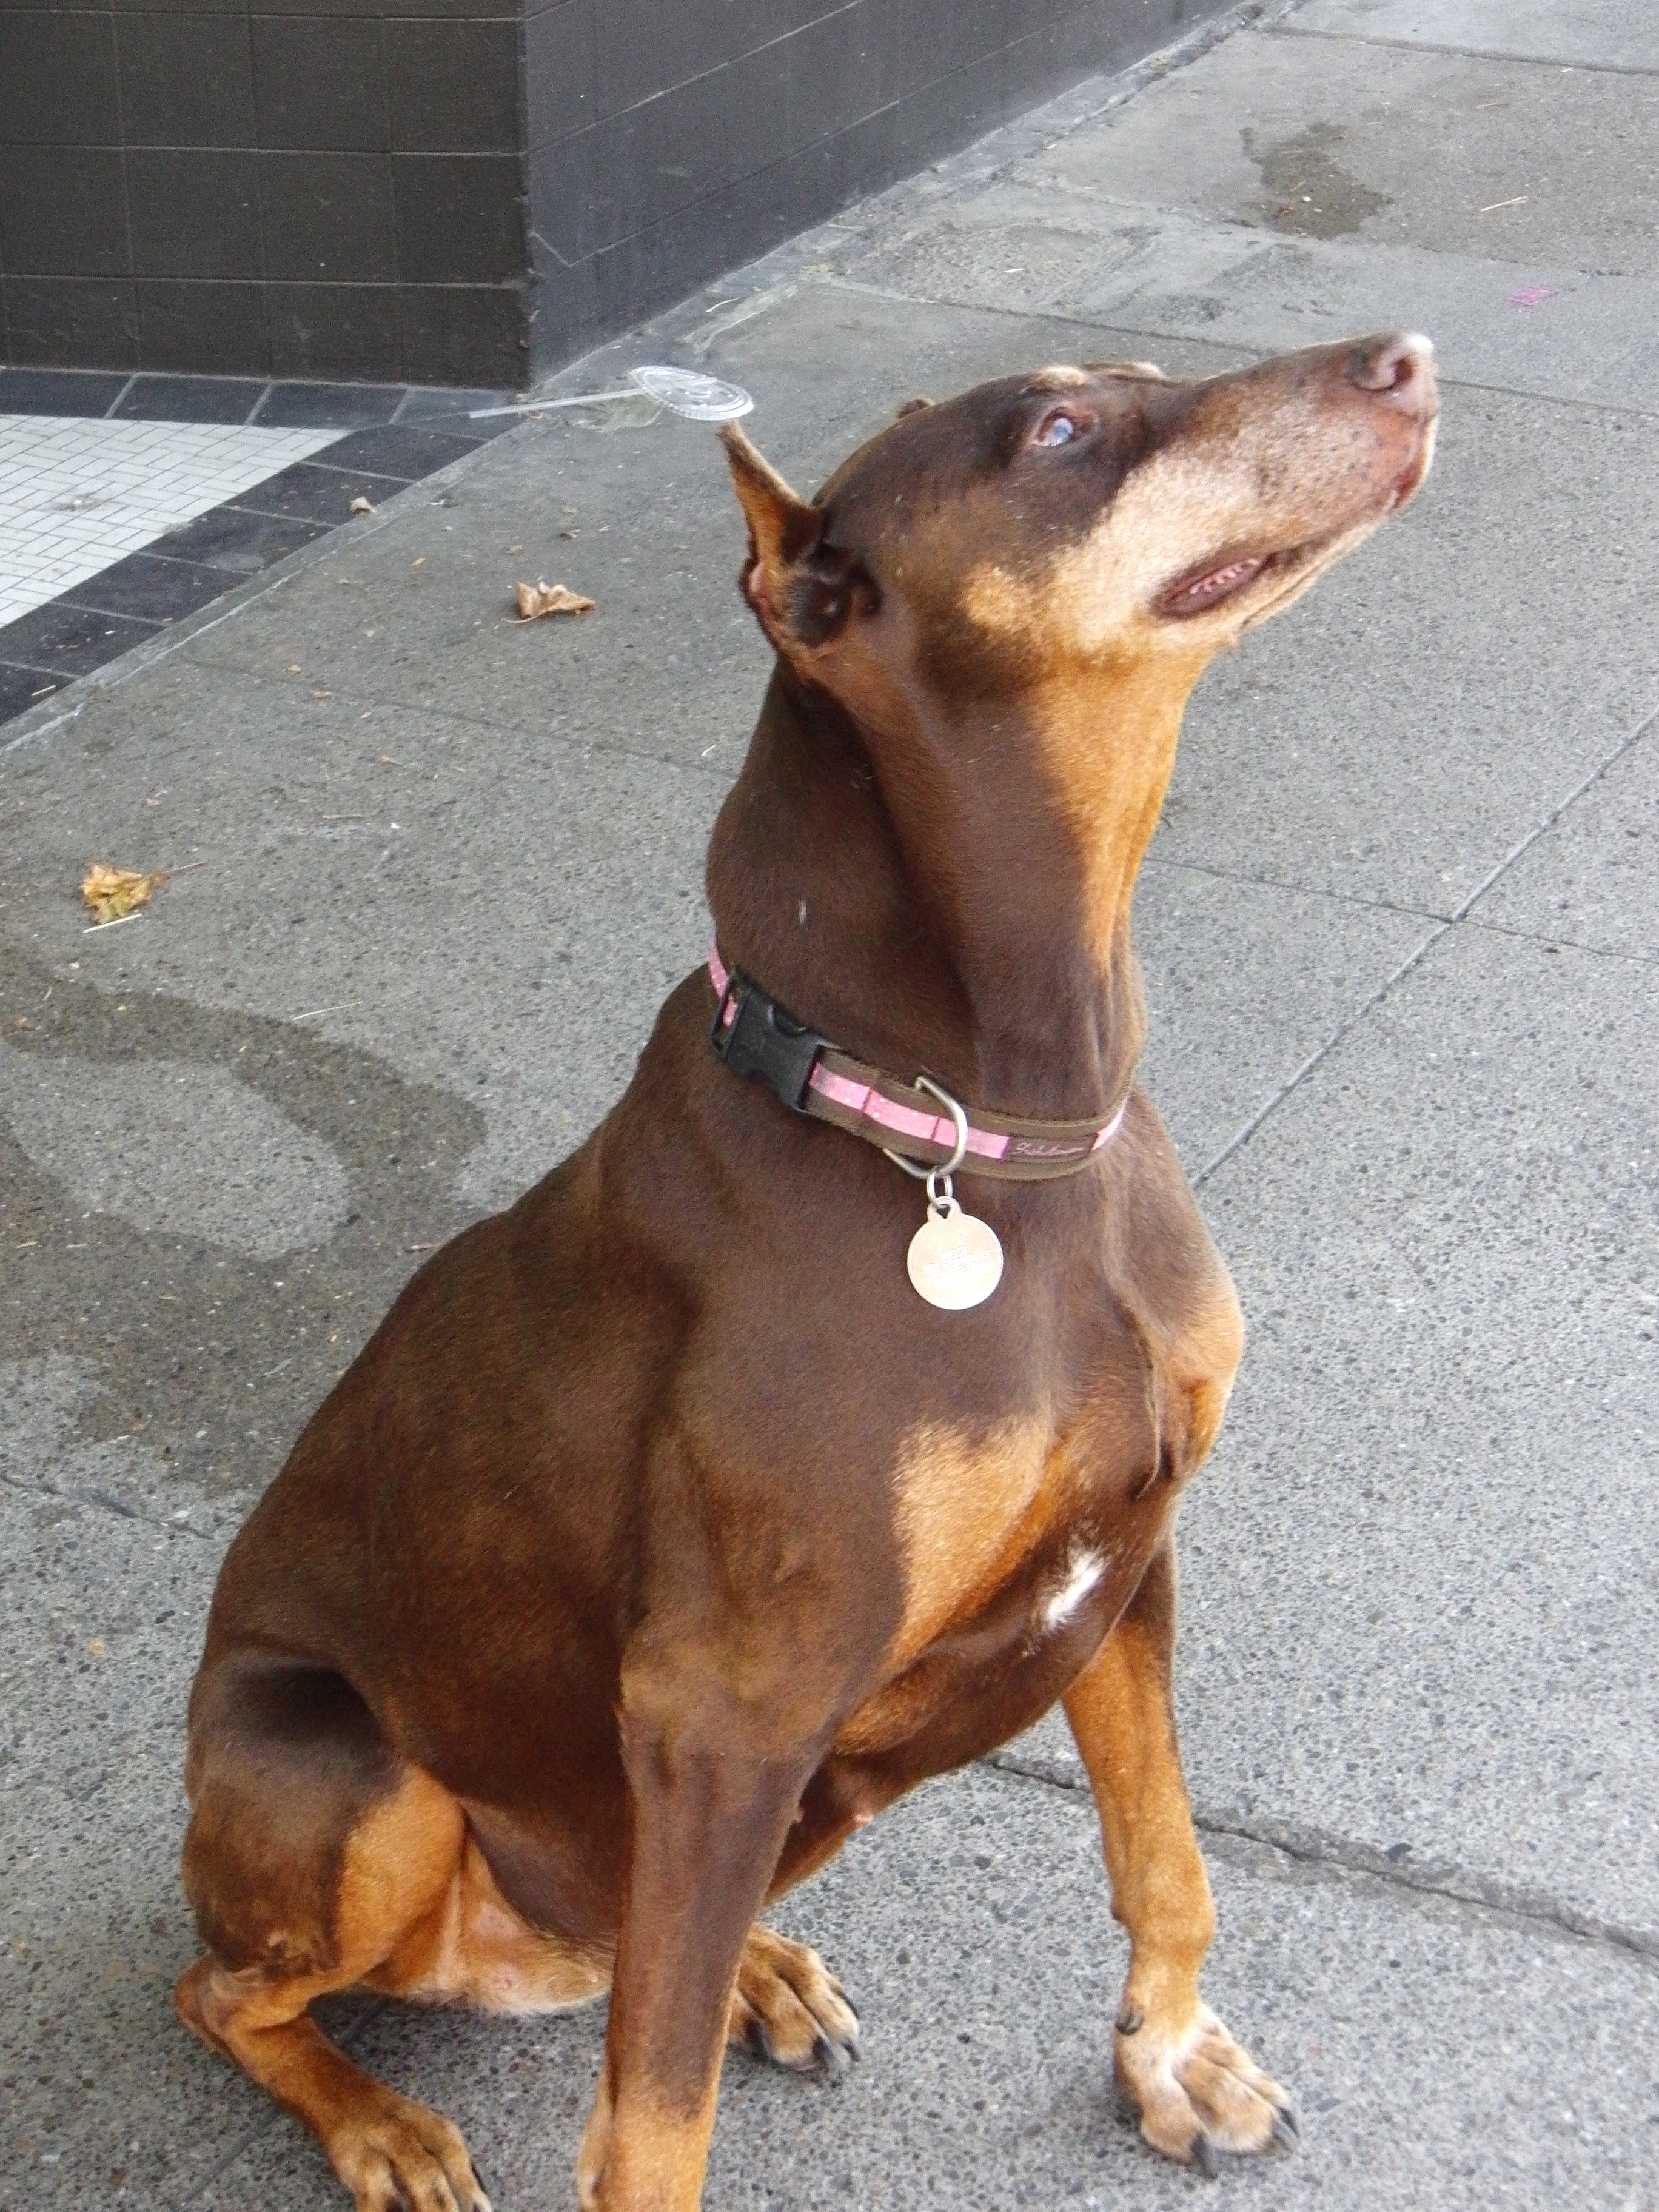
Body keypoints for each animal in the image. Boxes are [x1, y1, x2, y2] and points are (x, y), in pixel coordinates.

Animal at [176, 332, 1433, 2212]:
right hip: (355, 1776)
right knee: (223, 1988)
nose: (1406, 363)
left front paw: (1171, 2056)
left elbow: (1164, 1850)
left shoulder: (1128, 1554)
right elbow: (653, 2128)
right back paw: (382, 2123)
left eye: (1137, 370)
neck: (984, 1123)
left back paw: (756, 1967)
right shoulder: (724, 1709)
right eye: (1056, 427)